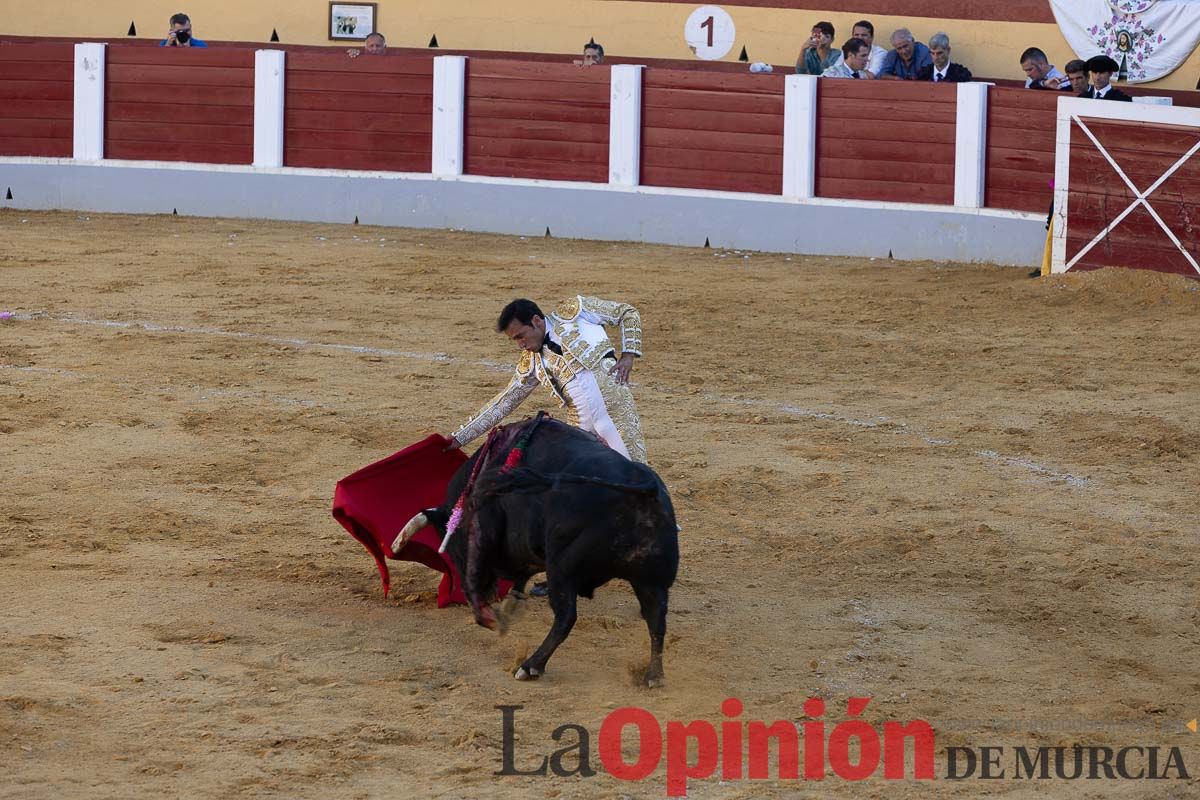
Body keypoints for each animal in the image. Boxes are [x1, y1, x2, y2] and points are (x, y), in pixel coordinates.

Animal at [391, 419, 676, 690]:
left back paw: (530, 666)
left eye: (453, 551)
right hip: (652, 580)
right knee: (656, 619)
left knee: (566, 617)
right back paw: (654, 675)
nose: (490, 592)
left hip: (562, 569)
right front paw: (511, 600)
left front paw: (490, 616)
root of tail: (641, 487)